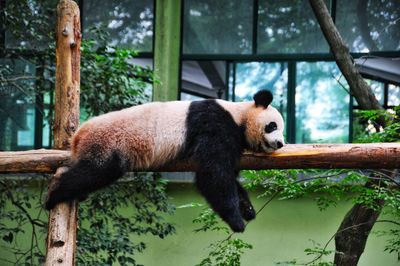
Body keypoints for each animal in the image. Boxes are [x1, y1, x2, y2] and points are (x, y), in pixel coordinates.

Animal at [45, 90, 284, 232]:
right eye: (272, 126)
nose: (280, 143)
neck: (238, 114)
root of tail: (78, 137)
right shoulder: (215, 124)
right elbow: (213, 175)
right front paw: (237, 221)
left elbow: (228, 176)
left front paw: (247, 209)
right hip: (108, 143)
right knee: (94, 172)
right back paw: (54, 195)